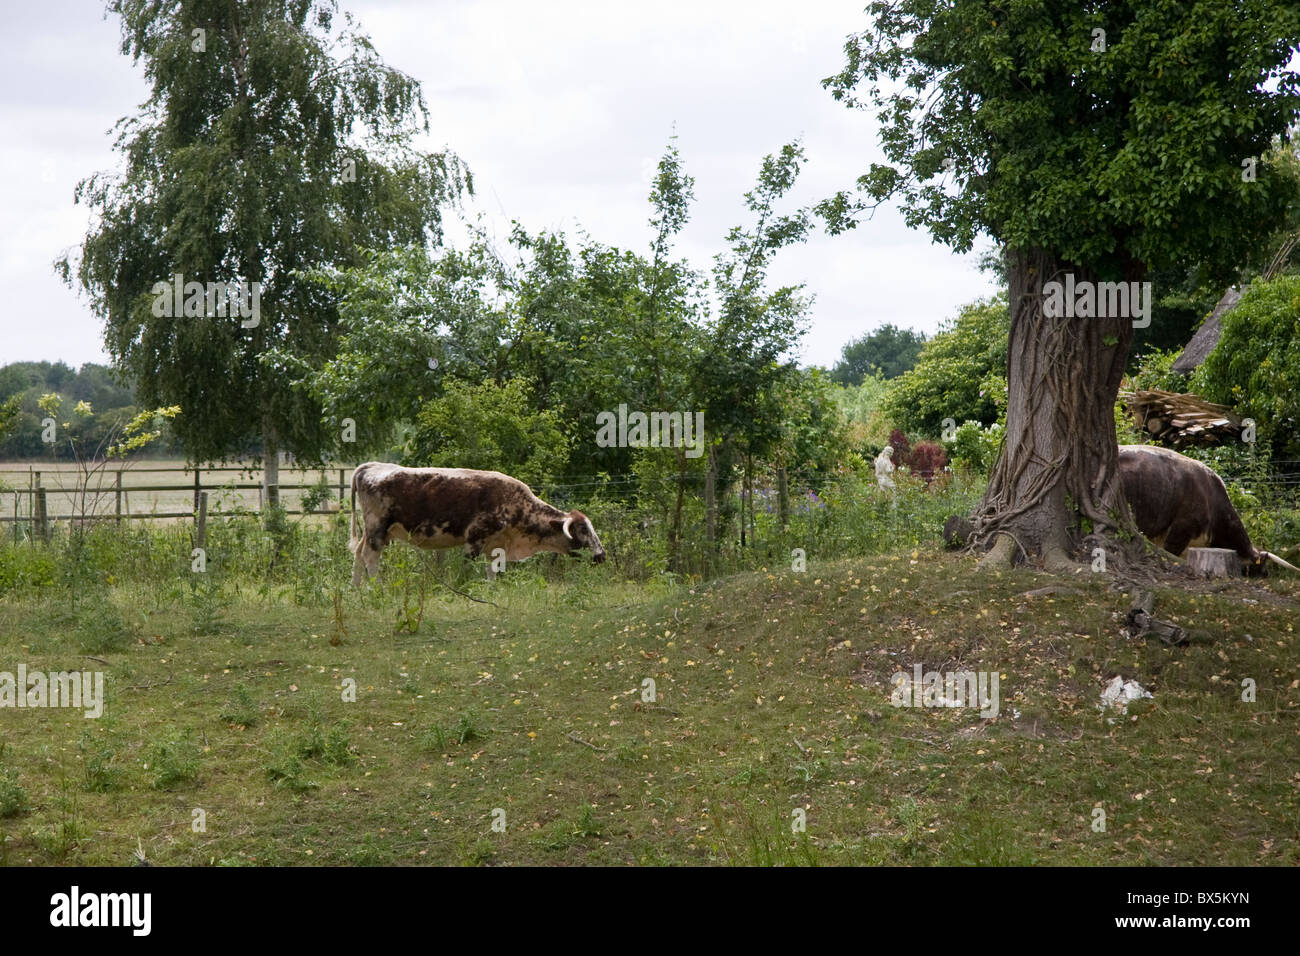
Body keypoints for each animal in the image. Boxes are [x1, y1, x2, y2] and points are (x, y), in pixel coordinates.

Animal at [348, 463, 605, 587]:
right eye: (583, 530)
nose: (601, 555)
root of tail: (371, 466)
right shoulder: (474, 538)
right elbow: (466, 569)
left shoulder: (495, 545)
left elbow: (492, 571)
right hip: (377, 529)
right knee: (370, 557)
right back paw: (377, 587)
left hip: (374, 532)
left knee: (359, 554)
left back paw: (357, 588)